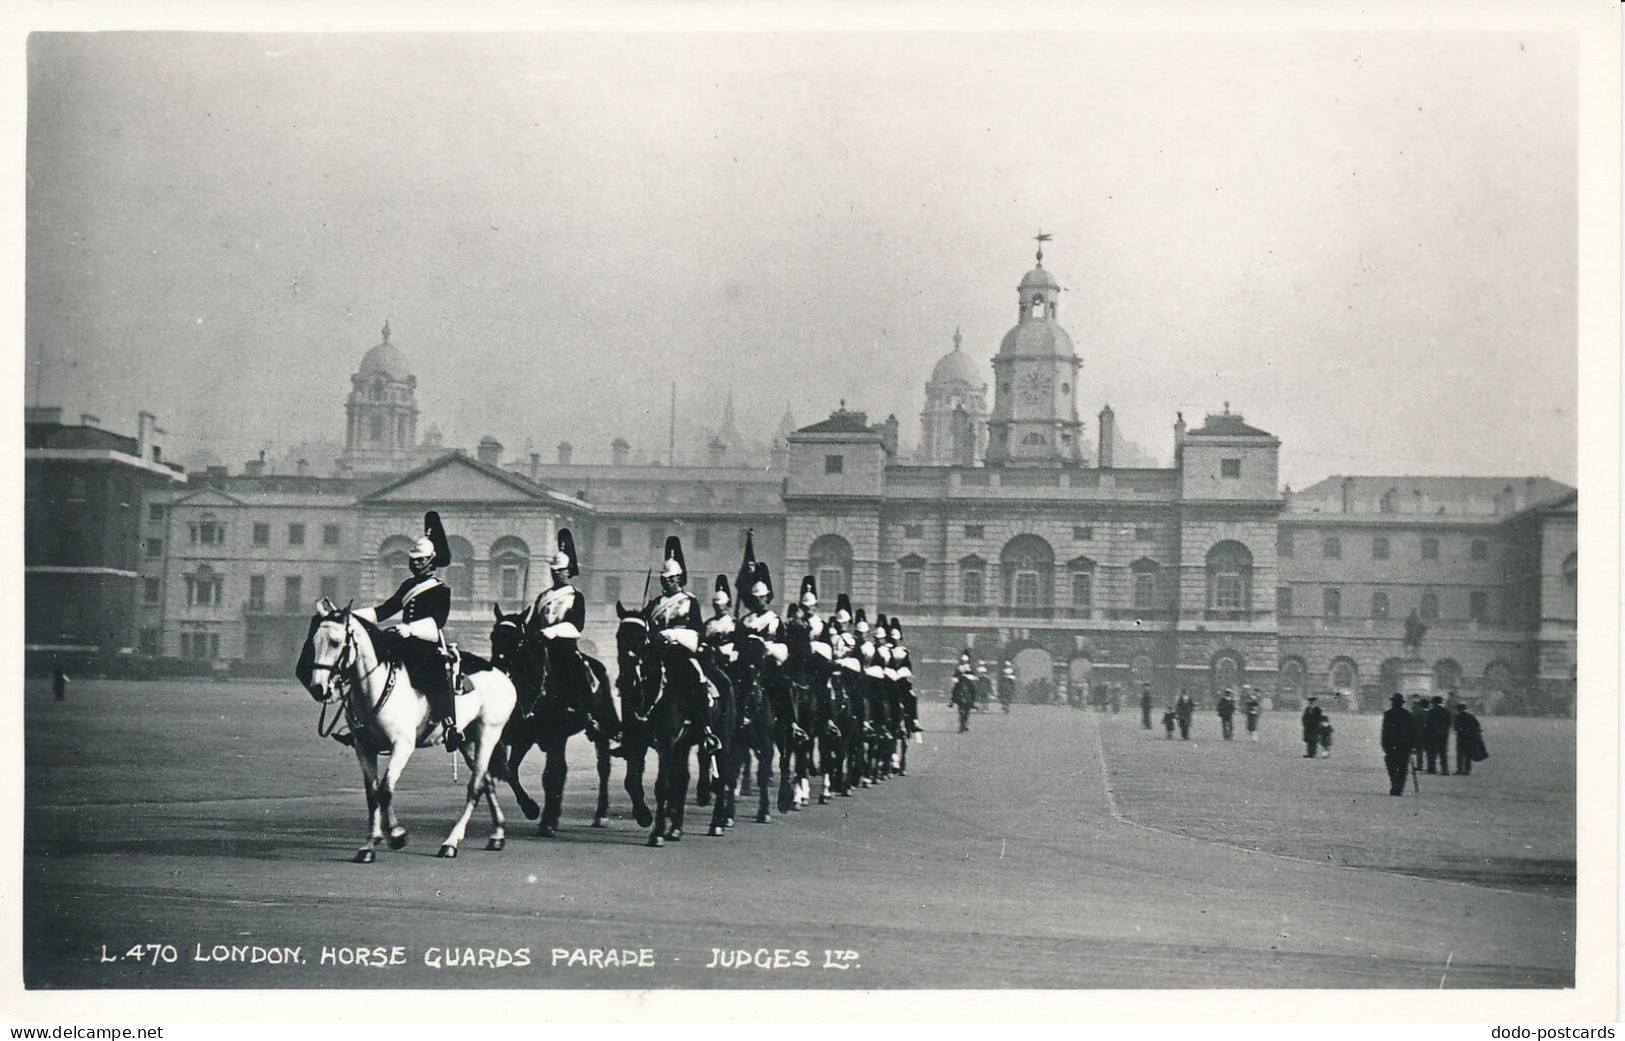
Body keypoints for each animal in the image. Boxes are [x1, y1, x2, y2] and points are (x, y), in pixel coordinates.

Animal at [297, 600, 513, 857]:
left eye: (335, 642)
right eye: (314, 641)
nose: (318, 688)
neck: (376, 687)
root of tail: (503, 676)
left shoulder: (402, 746)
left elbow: (385, 789)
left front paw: (396, 835)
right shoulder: (364, 748)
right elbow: (372, 794)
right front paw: (370, 844)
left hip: (488, 734)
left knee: (475, 786)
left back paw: (451, 842)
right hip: (467, 741)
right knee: (487, 781)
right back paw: (497, 834)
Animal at [481, 604, 640, 831]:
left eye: (516, 639)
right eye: (493, 636)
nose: (497, 669)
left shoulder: (555, 736)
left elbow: (551, 775)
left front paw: (545, 819)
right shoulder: (524, 738)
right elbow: (511, 770)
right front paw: (532, 808)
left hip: (598, 730)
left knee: (602, 768)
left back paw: (600, 814)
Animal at [611, 604, 734, 837]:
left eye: (642, 640)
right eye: (619, 637)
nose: (626, 680)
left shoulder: (666, 743)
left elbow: (663, 786)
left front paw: (657, 833)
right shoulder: (638, 742)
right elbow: (631, 781)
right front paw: (644, 815)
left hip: (721, 738)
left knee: (722, 777)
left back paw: (716, 823)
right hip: (683, 744)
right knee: (684, 779)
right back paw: (676, 828)